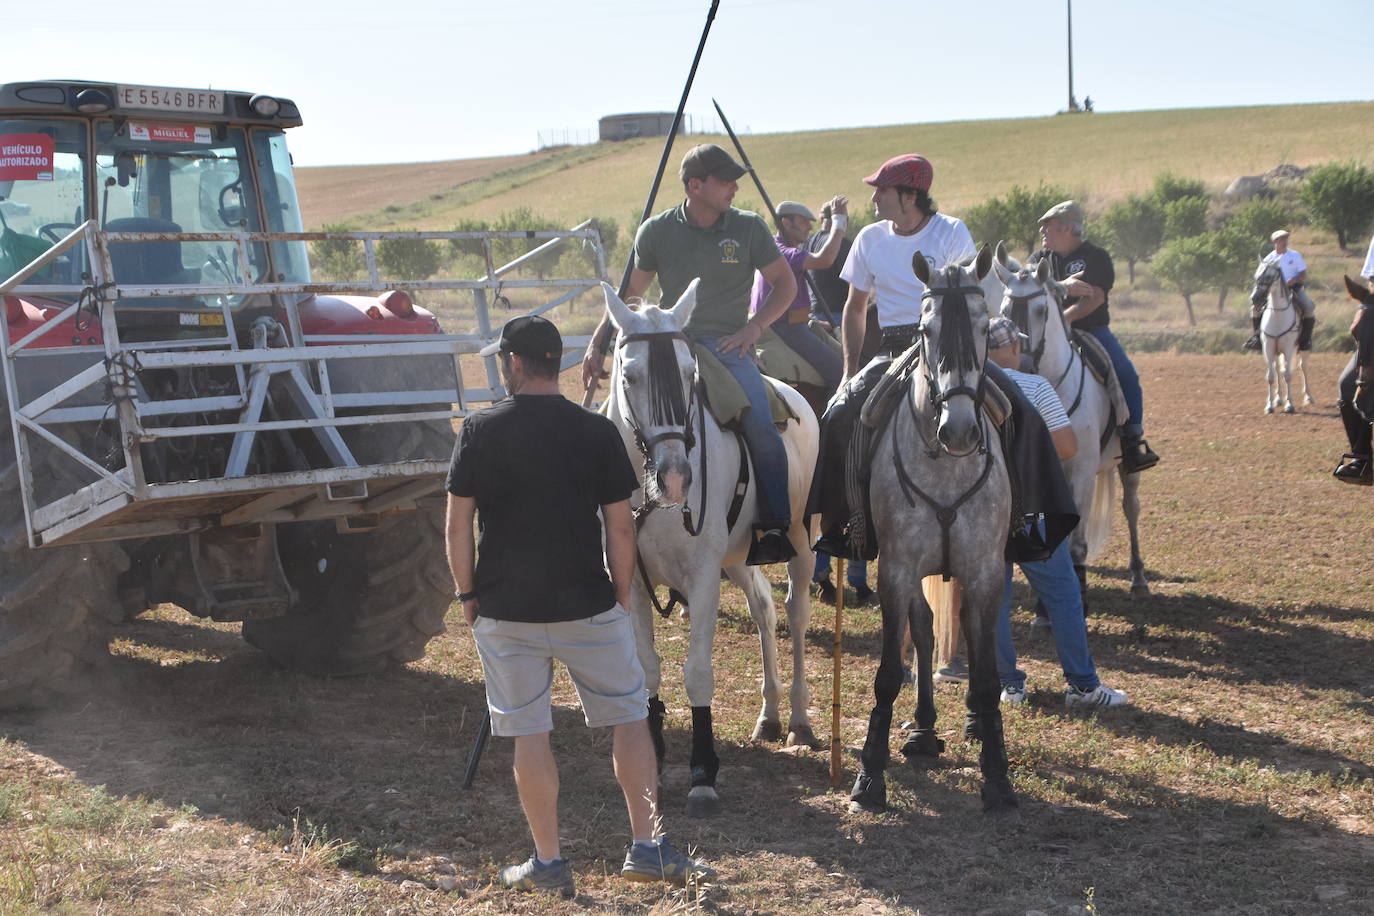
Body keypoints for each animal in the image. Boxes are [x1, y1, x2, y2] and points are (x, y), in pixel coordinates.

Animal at [599, 280, 813, 818]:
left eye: (689, 373)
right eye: (629, 375)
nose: (676, 477)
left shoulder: (701, 579)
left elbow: (696, 673)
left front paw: (702, 773)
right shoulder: (633, 581)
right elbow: (647, 670)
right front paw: (652, 757)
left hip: (803, 542)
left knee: (795, 614)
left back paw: (799, 719)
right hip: (736, 561)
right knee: (764, 610)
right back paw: (770, 715)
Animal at [846, 245, 1022, 818]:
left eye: (986, 325)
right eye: (925, 330)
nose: (960, 431)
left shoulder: (985, 570)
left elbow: (986, 675)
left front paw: (997, 777)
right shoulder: (897, 570)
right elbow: (888, 671)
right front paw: (870, 776)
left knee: (963, 628)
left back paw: (971, 724)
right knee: (924, 630)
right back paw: (923, 729)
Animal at [1253, 259, 1313, 414]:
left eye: (1269, 276)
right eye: (1257, 275)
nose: (1255, 298)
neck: (1277, 314)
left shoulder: (1288, 349)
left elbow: (1288, 375)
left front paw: (1289, 405)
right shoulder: (1268, 348)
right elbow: (1270, 376)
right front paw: (1269, 406)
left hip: (1302, 349)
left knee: (1303, 367)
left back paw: (1308, 397)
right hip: (1276, 351)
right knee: (1277, 369)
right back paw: (1278, 399)